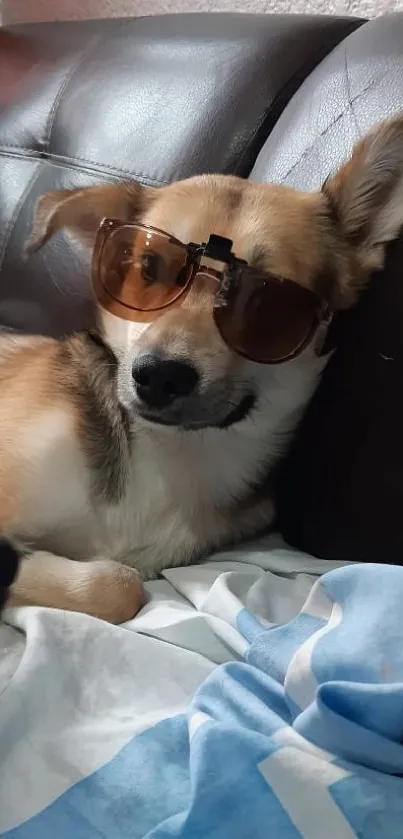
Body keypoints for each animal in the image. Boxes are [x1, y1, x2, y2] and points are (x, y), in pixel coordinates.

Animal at [0, 116, 403, 624]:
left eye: (266, 302)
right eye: (147, 268)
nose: (160, 376)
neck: (176, 453)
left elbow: (119, 583)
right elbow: (113, 581)